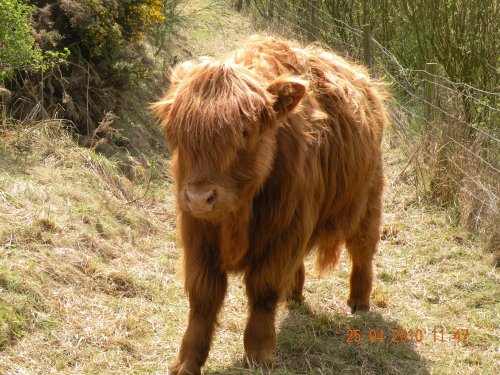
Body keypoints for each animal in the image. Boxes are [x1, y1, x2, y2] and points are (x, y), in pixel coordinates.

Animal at [154, 36, 388, 375]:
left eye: (245, 131)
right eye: (175, 132)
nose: (200, 196)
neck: (237, 217)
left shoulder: (283, 233)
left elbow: (264, 291)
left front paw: (259, 354)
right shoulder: (197, 234)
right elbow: (202, 297)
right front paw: (186, 361)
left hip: (368, 200)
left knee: (363, 251)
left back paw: (359, 302)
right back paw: (295, 293)